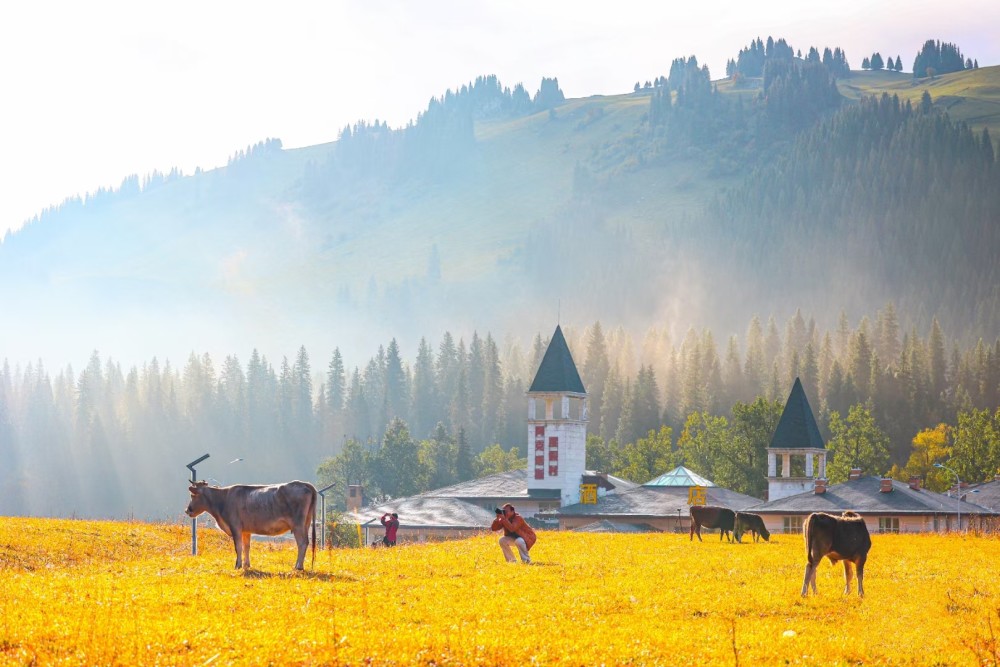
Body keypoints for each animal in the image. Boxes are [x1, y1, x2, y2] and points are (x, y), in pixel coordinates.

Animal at [185, 478, 316, 572]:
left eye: (192, 495)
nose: (187, 510)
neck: (222, 499)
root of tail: (304, 484)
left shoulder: (235, 527)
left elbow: (238, 547)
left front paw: (237, 565)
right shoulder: (246, 530)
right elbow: (246, 546)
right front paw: (246, 565)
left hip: (298, 524)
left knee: (302, 543)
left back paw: (298, 566)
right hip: (306, 523)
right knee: (306, 542)